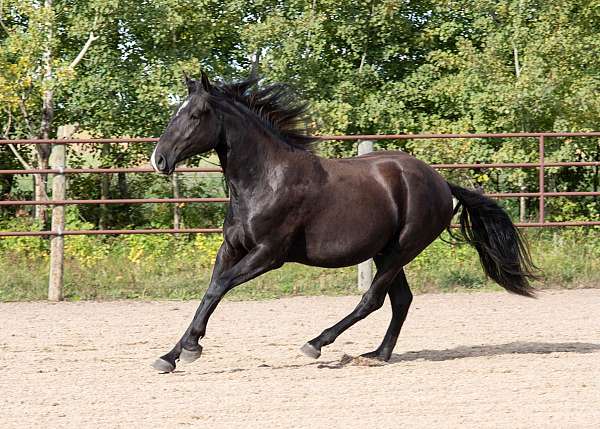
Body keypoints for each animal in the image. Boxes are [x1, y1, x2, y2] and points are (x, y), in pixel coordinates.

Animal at [149, 72, 536, 372]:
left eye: (197, 114)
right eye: (175, 112)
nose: (159, 159)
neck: (265, 179)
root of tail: (441, 182)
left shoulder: (268, 255)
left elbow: (219, 287)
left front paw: (190, 350)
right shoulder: (231, 249)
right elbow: (209, 291)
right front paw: (170, 356)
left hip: (402, 250)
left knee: (373, 299)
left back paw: (317, 343)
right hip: (385, 251)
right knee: (401, 300)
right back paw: (377, 355)